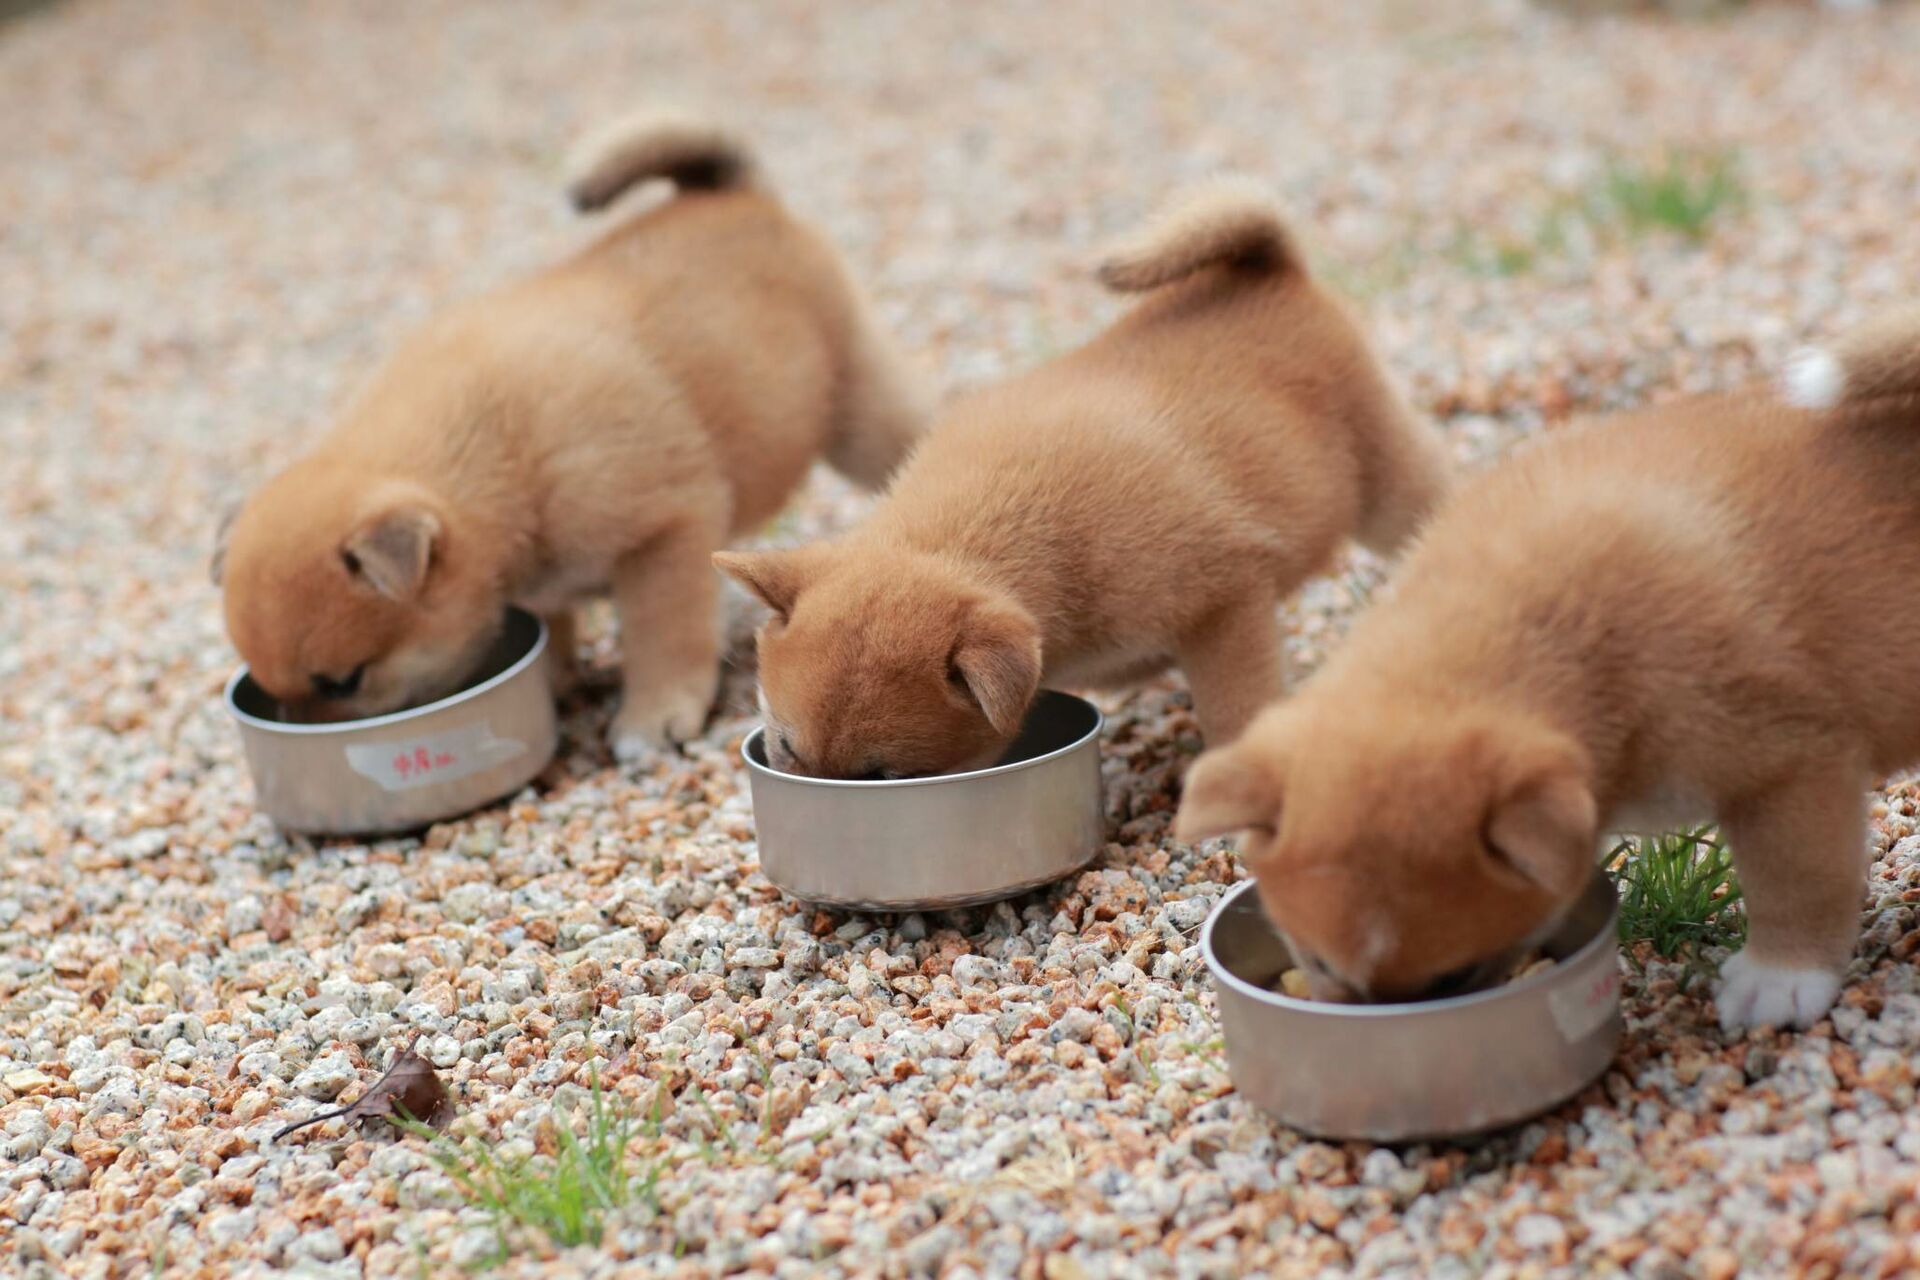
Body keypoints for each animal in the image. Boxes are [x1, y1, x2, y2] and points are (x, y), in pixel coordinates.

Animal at [217, 112, 929, 759]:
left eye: (344, 682)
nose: (299, 727)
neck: (496, 452)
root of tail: (733, 192)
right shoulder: (544, 584)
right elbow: (554, 626)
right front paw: (556, 682)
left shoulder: (664, 539)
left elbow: (663, 639)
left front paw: (652, 718)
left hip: (861, 413)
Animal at [721, 180, 1451, 782]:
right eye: (784, 748)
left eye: (884, 777)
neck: (986, 531)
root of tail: (1265, 266)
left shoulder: (1227, 603)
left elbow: (1234, 710)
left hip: (1388, 480)